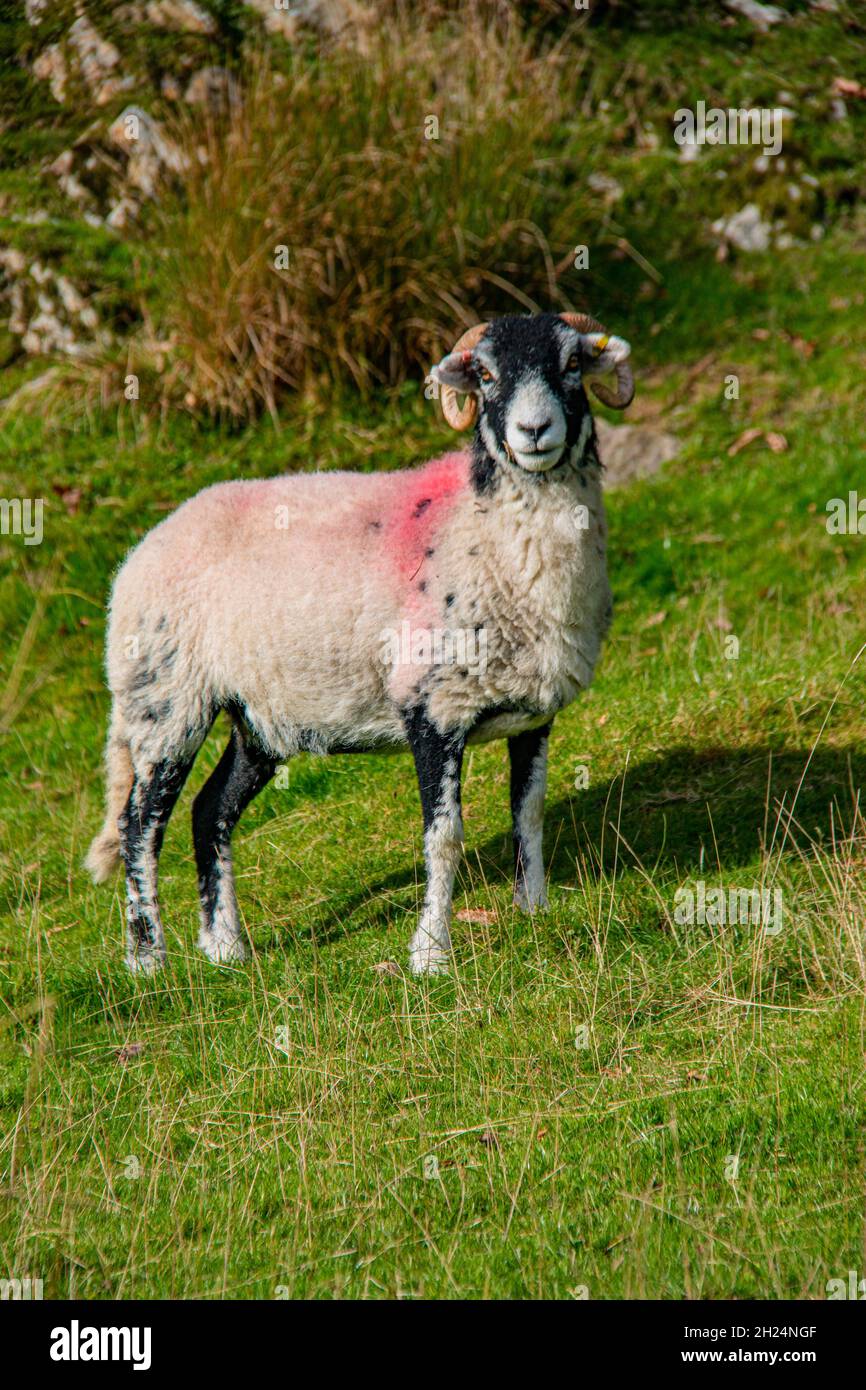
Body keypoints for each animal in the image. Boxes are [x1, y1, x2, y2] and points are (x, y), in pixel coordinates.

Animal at [86, 309, 631, 973]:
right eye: (484, 374)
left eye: (572, 363)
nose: (533, 431)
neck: (480, 529)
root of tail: (139, 555)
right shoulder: (433, 709)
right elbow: (444, 838)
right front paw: (431, 953)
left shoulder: (532, 715)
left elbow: (527, 813)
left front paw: (535, 912)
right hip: (165, 702)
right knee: (140, 824)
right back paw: (148, 958)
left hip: (257, 720)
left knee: (208, 810)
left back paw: (225, 948)